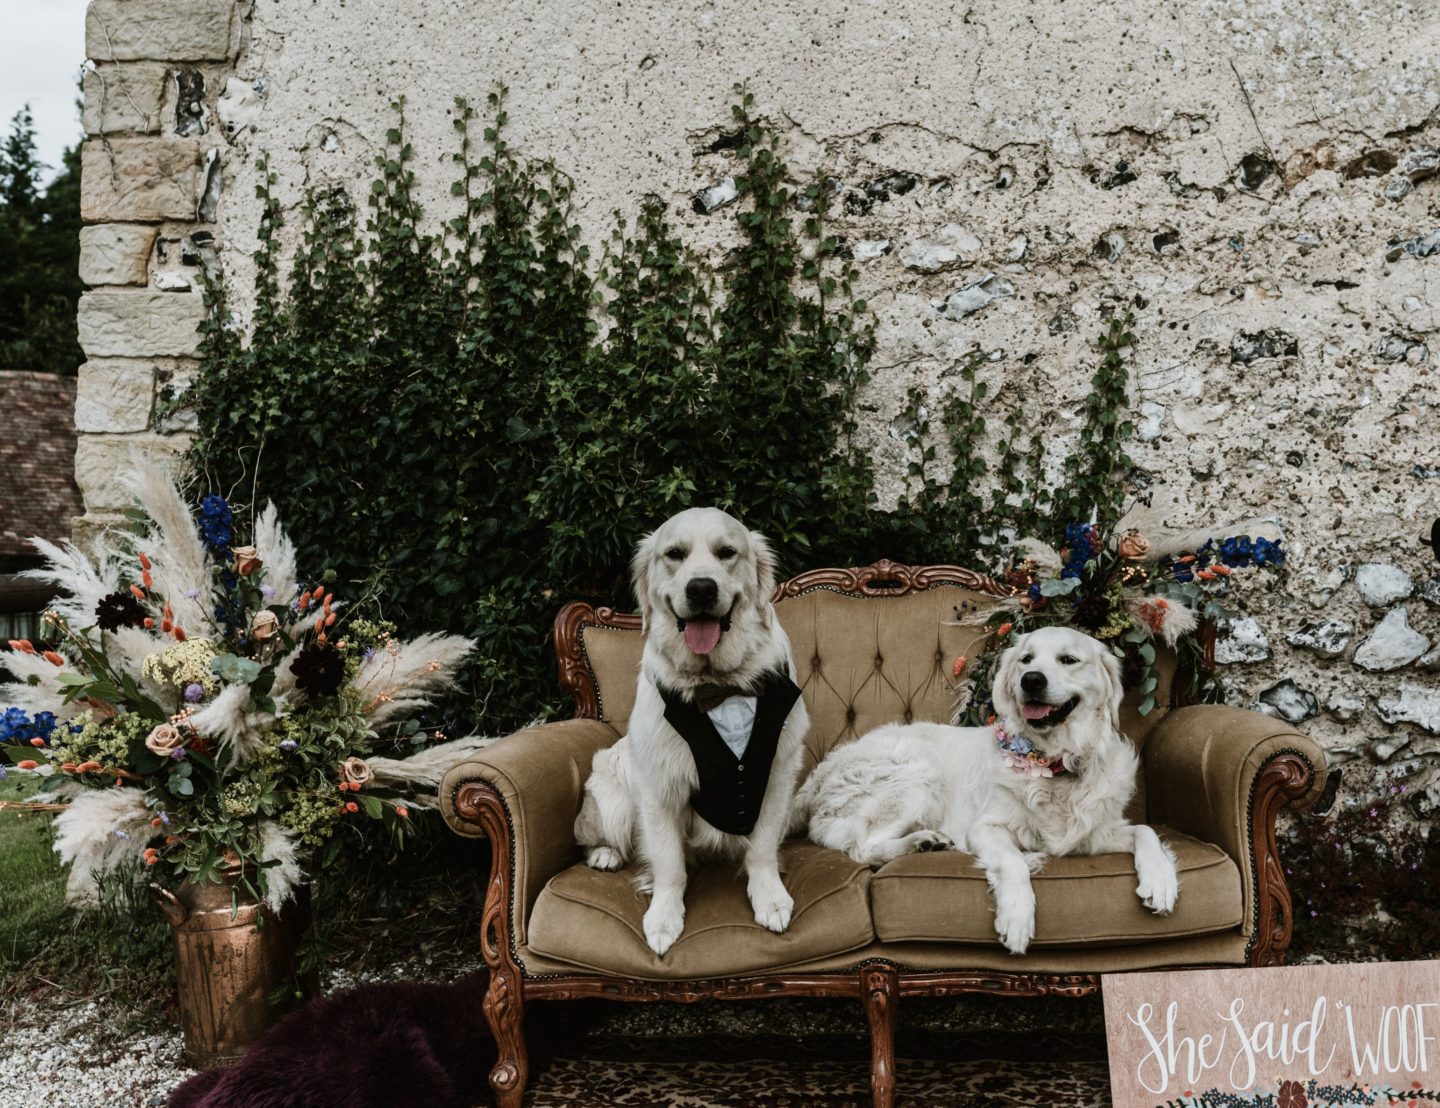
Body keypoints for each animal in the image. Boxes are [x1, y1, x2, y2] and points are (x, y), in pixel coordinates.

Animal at [573, 507, 812, 956]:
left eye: (727, 552)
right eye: (674, 554)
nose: (701, 588)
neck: (719, 685)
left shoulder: (777, 775)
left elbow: (762, 849)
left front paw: (769, 898)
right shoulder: (660, 788)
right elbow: (669, 865)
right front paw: (664, 919)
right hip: (613, 800)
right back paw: (605, 855)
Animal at [794, 622, 1175, 950]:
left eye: (1069, 659)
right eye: (1026, 659)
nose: (1031, 680)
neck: (1055, 763)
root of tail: (821, 772)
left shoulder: (1093, 833)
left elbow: (1146, 831)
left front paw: (1160, 880)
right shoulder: (984, 827)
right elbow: (1013, 861)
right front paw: (1017, 918)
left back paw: (926, 842)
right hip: (917, 774)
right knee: (861, 847)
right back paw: (920, 842)